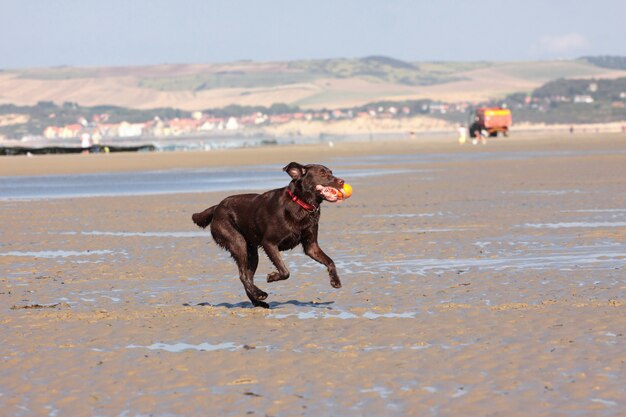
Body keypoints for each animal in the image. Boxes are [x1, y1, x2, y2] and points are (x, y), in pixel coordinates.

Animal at [191, 161, 346, 308]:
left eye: (331, 172)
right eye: (322, 173)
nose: (342, 181)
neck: (300, 203)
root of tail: (217, 207)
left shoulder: (311, 247)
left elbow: (330, 261)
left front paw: (335, 281)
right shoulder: (269, 243)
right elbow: (285, 271)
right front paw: (271, 277)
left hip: (252, 253)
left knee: (247, 277)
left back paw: (258, 301)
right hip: (238, 243)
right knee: (243, 275)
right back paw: (260, 294)